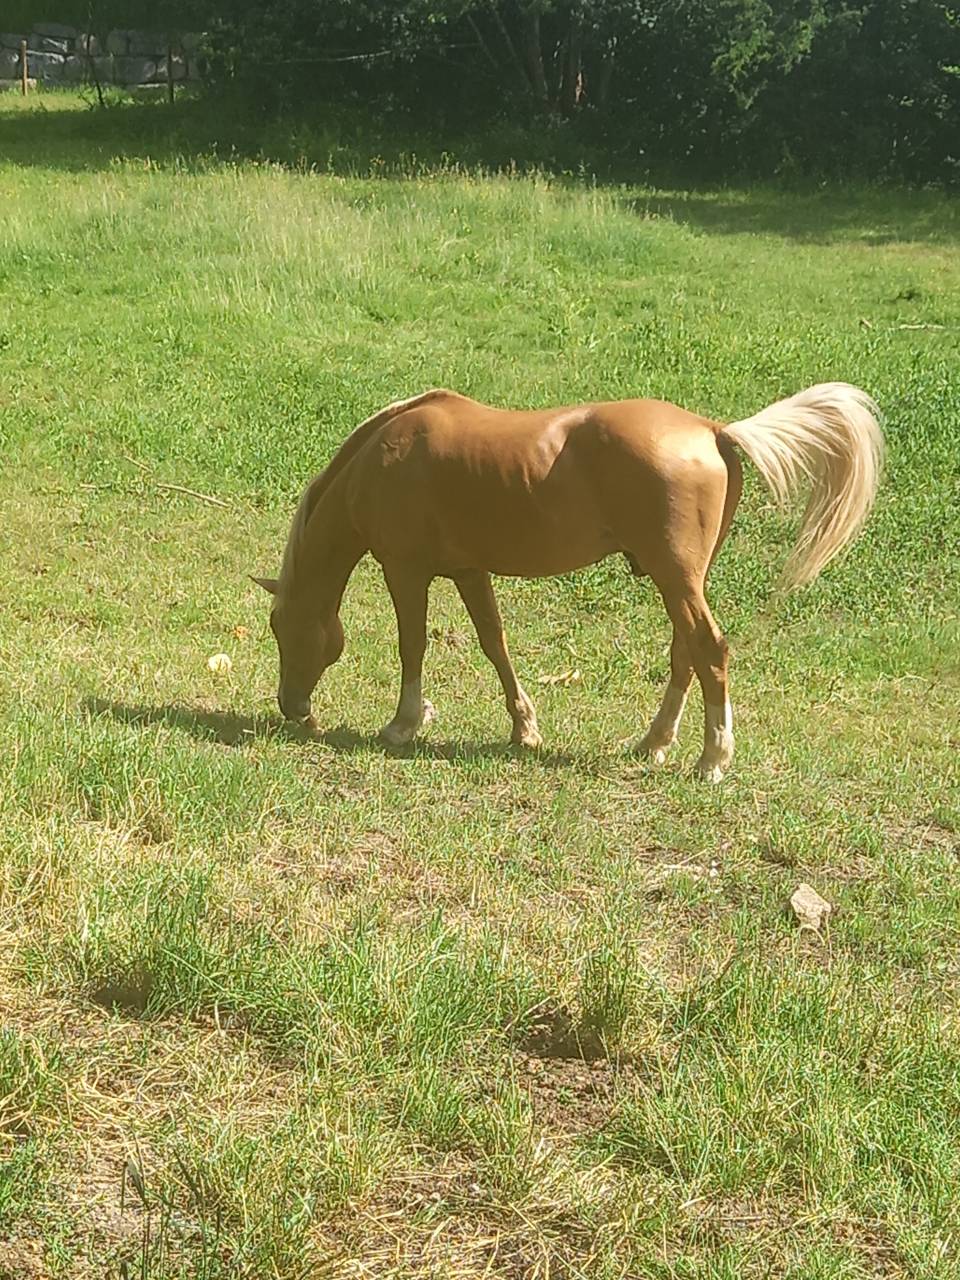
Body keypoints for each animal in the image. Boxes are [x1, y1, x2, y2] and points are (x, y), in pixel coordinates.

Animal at [253, 383, 882, 781]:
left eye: (283, 628)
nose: (292, 708)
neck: (384, 456)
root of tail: (712, 431)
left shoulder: (405, 571)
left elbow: (413, 646)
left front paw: (404, 723)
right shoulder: (469, 571)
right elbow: (494, 644)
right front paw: (524, 728)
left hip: (676, 579)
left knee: (709, 651)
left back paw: (712, 760)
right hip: (680, 583)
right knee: (685, 655)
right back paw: (653, 745)